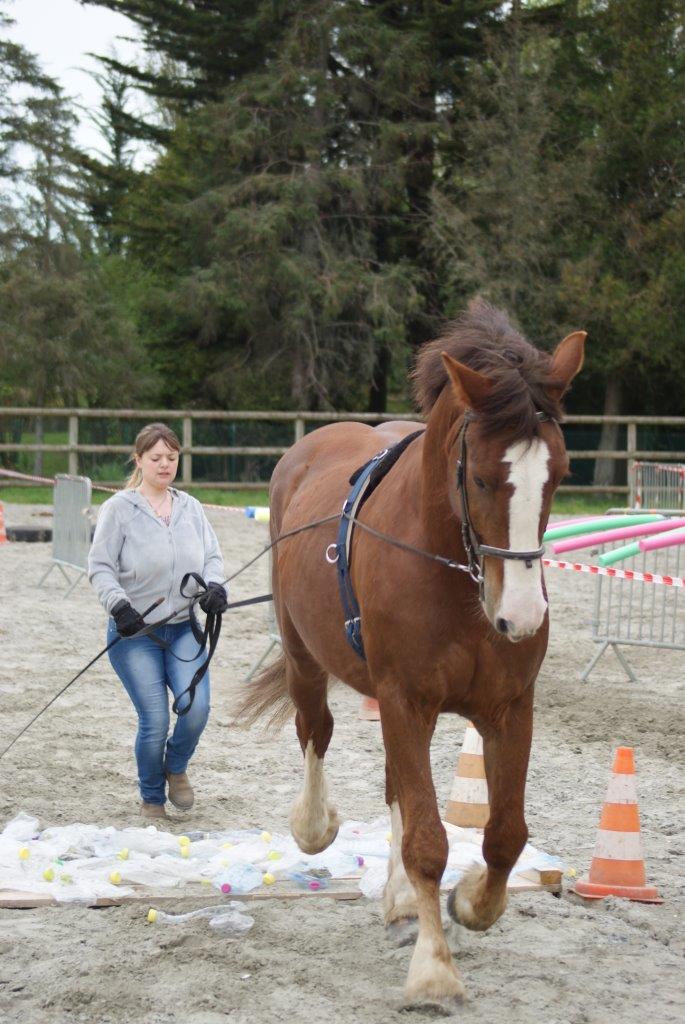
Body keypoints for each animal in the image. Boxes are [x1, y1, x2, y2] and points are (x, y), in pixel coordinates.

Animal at [237, 299, 585, 1003]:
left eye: (559, 475)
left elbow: (505, 834)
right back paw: (315, 826)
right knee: (315, 730)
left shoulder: (509, 709)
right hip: (306, 659)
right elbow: (428, 838)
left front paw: (472, 904)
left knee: (396, 786)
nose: (521, 617)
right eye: (480, 476)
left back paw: (401, 904)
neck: (458, 581)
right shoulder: (405, 701)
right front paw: (433, 968)